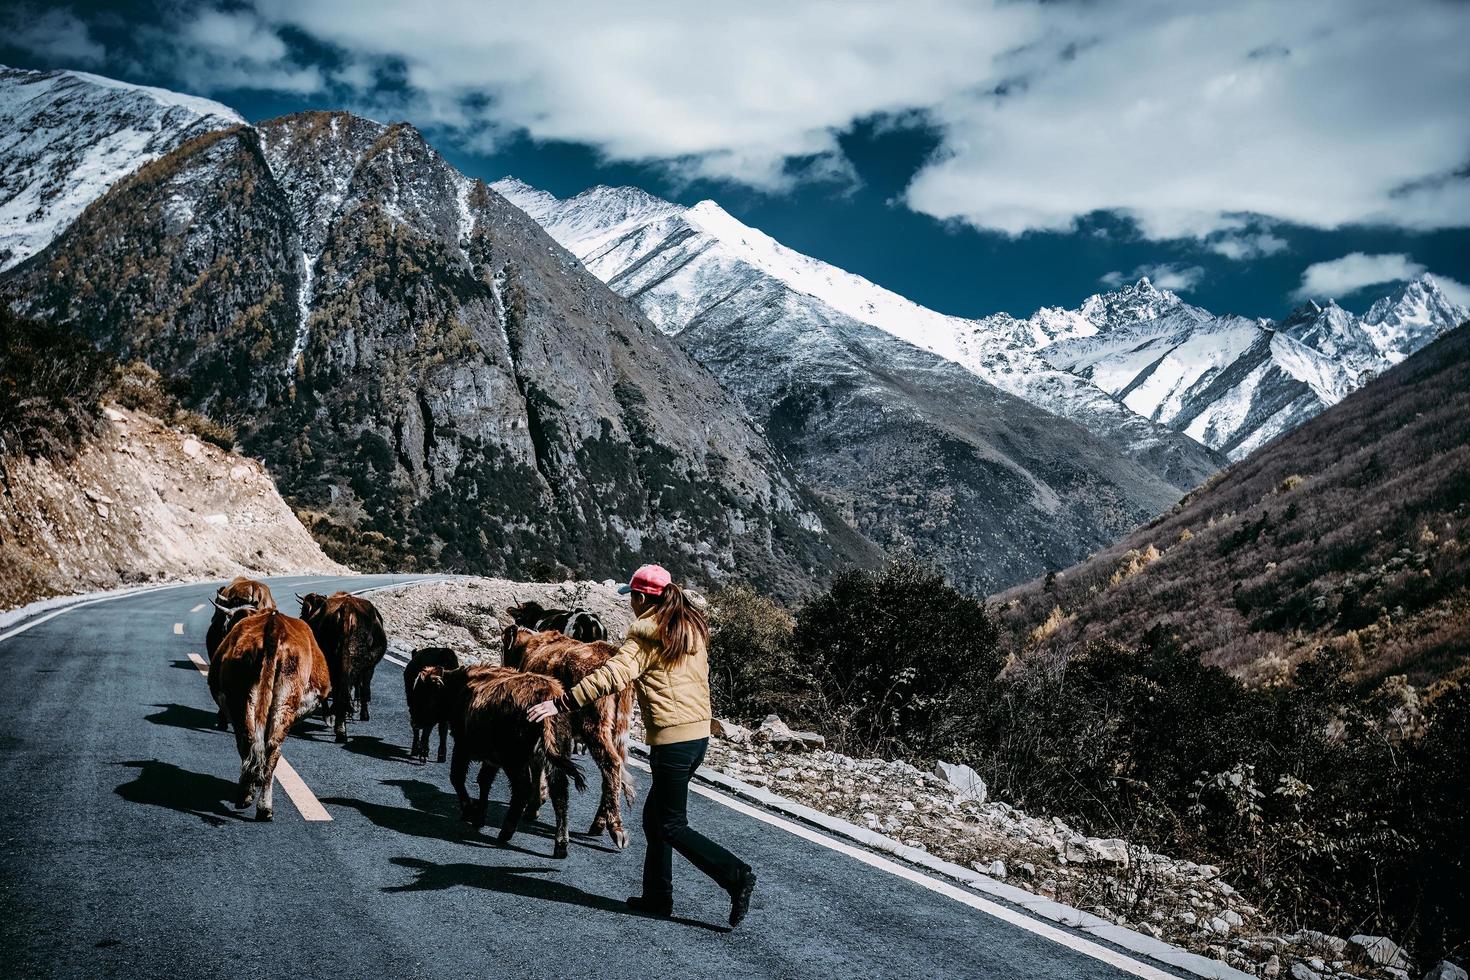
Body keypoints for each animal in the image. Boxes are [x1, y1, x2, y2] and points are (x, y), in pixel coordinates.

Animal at [207, 608, 330, 822]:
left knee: (255, 743)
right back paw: (261, 804)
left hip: (246, 699)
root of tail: (274, 626)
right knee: (268, 746)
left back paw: (251, 798)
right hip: (282, 699)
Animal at [299, 590, 388, 743]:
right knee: (347, 692)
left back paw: (338, 725)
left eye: (304, 609)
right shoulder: (368, 668)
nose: (302, 618)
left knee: (340, 692)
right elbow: (364, 689)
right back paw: (341, 728)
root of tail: (347, 609)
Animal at [441, 667, 585, 858]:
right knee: (560, 792)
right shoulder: (491, 760)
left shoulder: (463, 747)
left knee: (522, 789)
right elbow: (483, 781)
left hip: (515, 762)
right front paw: (479, 816)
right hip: (556, 754)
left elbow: (457, 777)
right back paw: (560, 845)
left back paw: (506, 832)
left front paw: (469, 811)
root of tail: (545, 693)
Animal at [502, 628, 635, 852]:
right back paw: (599, 823)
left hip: (595, 727)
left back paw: (615, 828)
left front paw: (535, 804)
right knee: (615, 772)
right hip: (616, 731)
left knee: (611, 764)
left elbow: (538, 763)